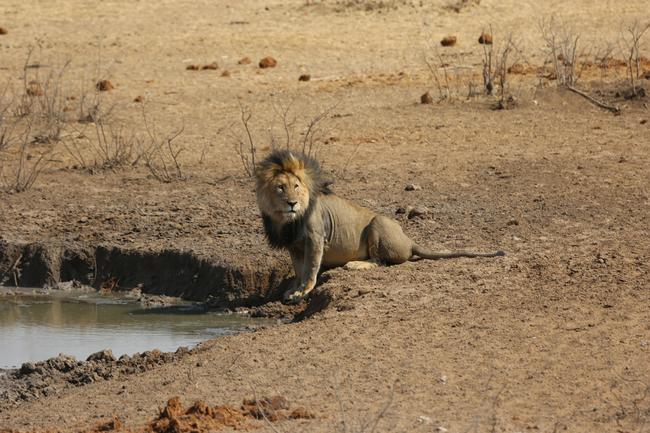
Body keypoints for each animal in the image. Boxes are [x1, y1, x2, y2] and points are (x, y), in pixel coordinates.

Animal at [256, 150, 504, 302]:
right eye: (280, 187)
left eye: (296, 186)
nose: (292, 203)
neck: (286, 221)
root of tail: (409, 241)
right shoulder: (294, 245)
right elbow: (299, 270)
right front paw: (292, 289)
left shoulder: (315, 238)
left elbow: (310, 269)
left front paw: (303, 291)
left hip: (378, 223)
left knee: (379, 261)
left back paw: (354, 265)